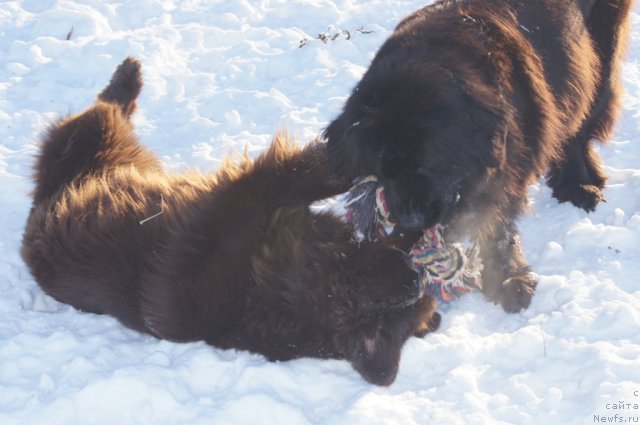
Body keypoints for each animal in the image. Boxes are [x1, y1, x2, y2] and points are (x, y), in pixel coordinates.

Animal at [21, 56, 440, 384]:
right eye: (411, 267)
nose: (417, 266)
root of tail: (38, 209)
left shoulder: (230, 208)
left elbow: (292, 174)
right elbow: (300, 178)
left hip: (94, 143)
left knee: (105, 108)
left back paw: (128, 75)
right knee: (108, 109)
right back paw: (130, 74)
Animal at [322, 0, 632, 312]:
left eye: (429, 166)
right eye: (383, 170)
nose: (410, 220)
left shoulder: (505, 171)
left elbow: (497, 227)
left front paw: (508, 283)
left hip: (598, 52)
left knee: (581, 120)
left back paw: (579, 184)